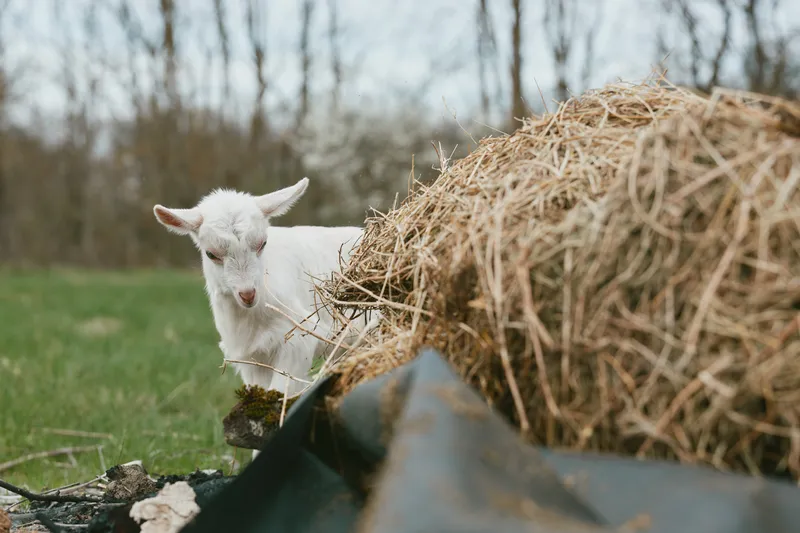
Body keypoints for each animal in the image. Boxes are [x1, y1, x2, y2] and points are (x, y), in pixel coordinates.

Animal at [153, 177, 365, 409]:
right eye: (211, 254)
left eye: (263, 243)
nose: (248, 294)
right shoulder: (251, 356)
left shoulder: (297, 339)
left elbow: (279, 389)